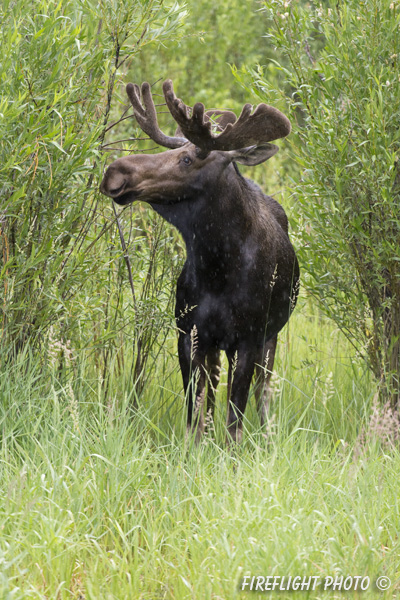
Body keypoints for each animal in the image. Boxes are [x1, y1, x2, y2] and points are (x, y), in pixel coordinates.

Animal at [101, 79, 298, 442]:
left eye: (187, 158)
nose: (114, 172)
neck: (218, 269)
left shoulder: (249, 338)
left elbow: (235, 419)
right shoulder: (189, 334)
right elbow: (195, 413)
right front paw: (196, 448)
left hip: (270, 335)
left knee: (263, 394)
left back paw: (266, 436)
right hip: (217, 347)